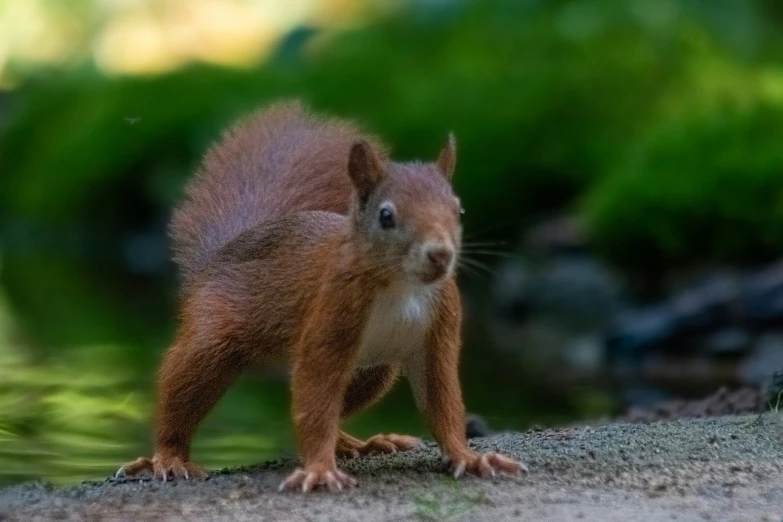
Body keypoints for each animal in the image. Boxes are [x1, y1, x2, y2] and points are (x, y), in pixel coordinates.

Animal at [116, 99, 528, 490]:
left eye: (460, 211)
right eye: (386, 216)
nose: (440, 254)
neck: (402, 287)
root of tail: (220, 255)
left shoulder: (439, 331)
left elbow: (442, 402)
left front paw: (470, 458)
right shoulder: (332, 311)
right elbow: (316, 391)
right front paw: (319, 470)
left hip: (373, 372)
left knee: (321, 409)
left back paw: (358, 443)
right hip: (211, 336)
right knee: (187, 390)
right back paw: (168, 458)